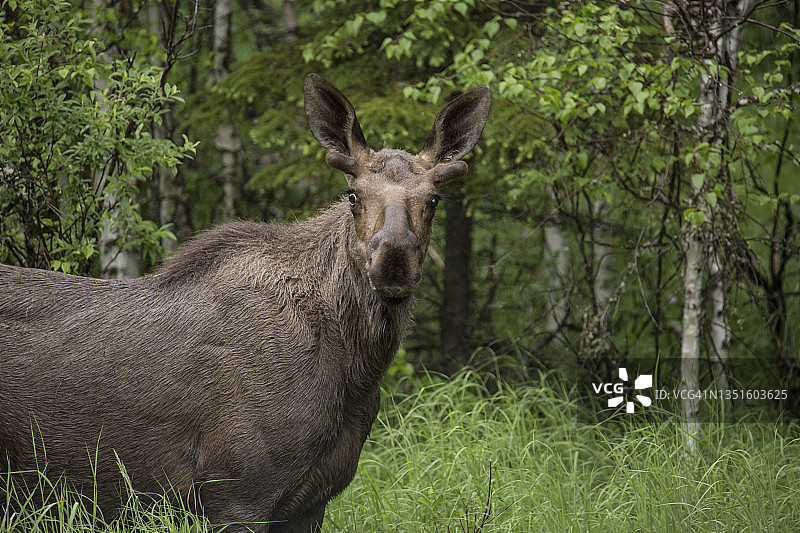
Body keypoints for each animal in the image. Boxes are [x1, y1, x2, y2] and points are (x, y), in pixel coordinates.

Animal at [0, 74, 491, 532]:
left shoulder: (311, 502)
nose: (393, 260)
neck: (354, 375)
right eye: (353, 195)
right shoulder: (235, 492)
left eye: (434, 198)